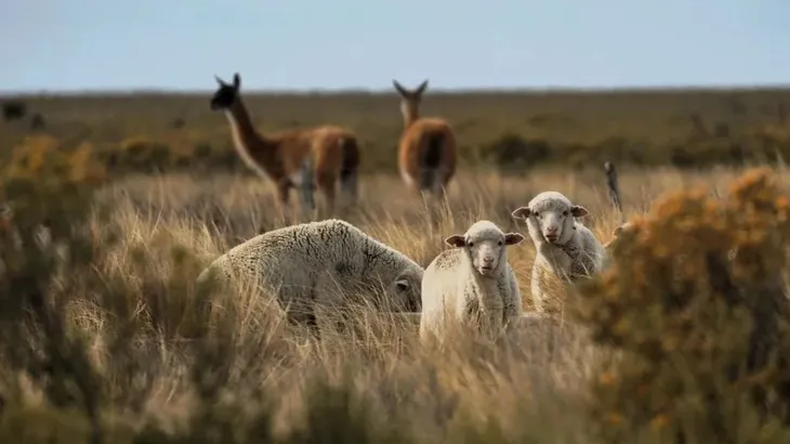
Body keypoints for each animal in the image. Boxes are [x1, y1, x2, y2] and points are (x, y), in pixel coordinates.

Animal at [210, 73, 361, 213]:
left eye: (228, 92)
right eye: (218, 90)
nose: (212, 103)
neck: (268, 148)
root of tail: (346, 139)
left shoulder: (281, 182)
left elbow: (283, 214)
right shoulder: (304, 187)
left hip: (326, 177)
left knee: (332, 205)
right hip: (349, 174)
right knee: (352, 204)